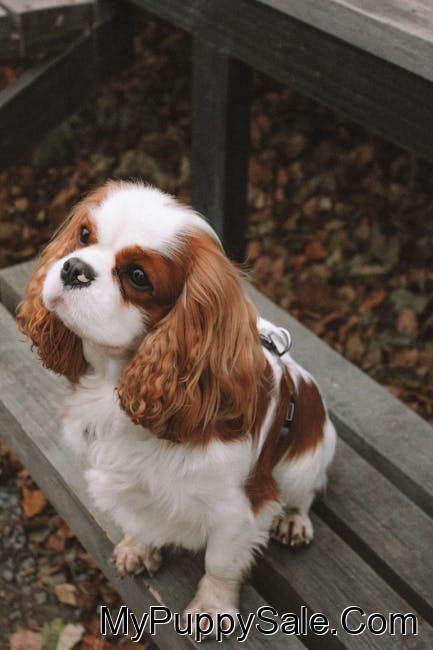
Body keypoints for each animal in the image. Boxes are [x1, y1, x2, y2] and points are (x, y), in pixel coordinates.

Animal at [18, 180, 336, 630]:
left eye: (138, 276)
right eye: (83, 235)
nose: (73, 268)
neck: (118, 383)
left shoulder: (238, 510)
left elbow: (220, 562)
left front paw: (212, 608)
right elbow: (140, 518)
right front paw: (140, 547)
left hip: (306, 461)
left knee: (305, 493)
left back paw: (294, 521)